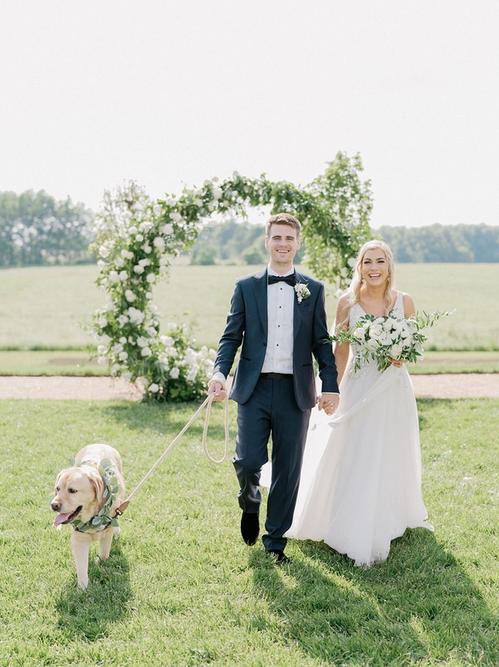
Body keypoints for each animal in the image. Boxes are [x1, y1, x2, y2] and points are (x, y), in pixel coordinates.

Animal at [50, 444, 125, 588]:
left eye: (72, 490)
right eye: (57, 489)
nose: (53, 505)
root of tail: (100, 443)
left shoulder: (107, 533)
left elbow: (104, 554)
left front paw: (100, 563)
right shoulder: (79, 539)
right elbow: (81, 566)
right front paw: (82, 588)